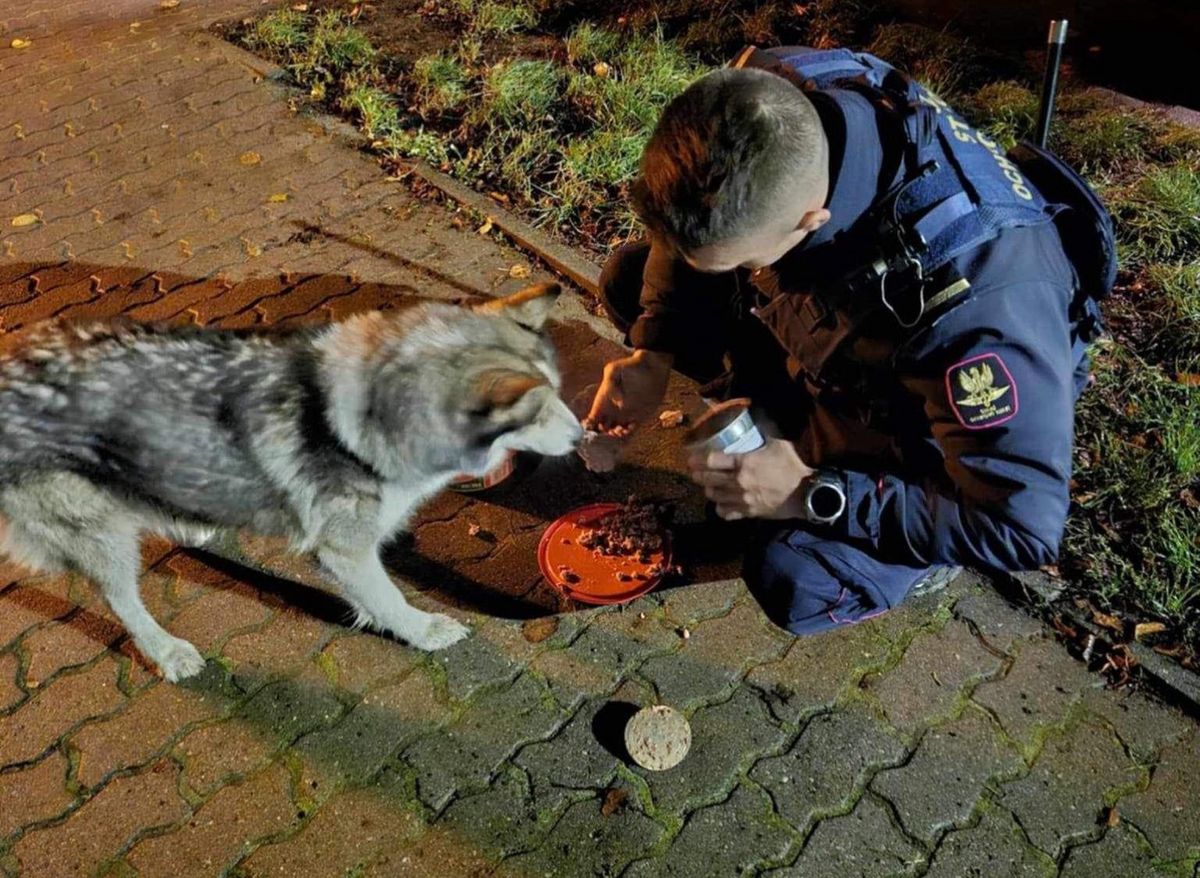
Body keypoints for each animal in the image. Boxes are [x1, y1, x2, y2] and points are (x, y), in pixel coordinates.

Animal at [0, 280, 580, 681]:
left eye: (559, 392)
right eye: (537, 413)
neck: (375, 415)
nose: (582, 436)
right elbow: (392, 599)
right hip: (104, 539)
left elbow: (374, 596)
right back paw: (167, 651)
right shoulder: (345, 548)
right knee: (123, 601)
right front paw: (422, 631)